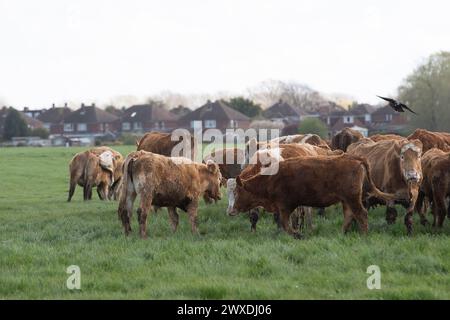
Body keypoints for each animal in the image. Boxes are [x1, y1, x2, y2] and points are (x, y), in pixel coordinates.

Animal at [227, 154, 396, 239]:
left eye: (237, 192)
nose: (230, 211)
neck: (270, 179)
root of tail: (355, 158)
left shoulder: (285, 206)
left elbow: (286, 225)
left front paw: (298, 234)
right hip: (346, 200)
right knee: (349, 215)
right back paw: (341, 234)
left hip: (352, 198)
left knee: (361, 214)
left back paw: (364, 235)